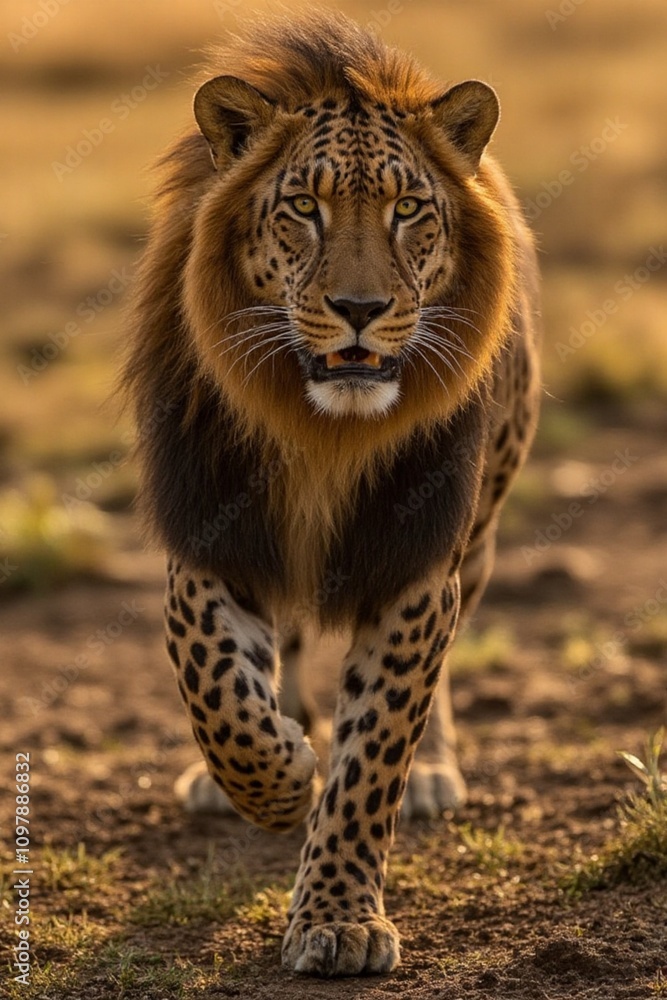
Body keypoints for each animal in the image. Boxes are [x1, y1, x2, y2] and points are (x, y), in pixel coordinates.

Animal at [122, 10, 540, 978]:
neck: (326, 432)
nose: (359, 309)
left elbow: (372, 753)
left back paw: (431, 772)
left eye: (408, 210)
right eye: (302, 209)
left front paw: (342, 917)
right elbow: (219, 691)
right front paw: (279, 782)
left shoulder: (418, 562)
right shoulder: (213, 532)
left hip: (480, 530)